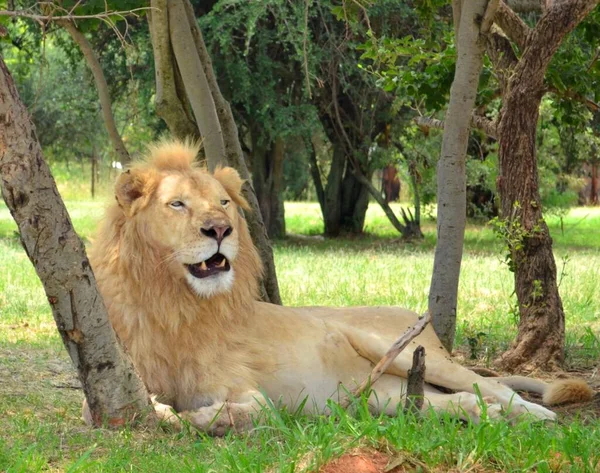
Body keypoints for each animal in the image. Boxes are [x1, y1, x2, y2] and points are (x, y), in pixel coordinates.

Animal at [86, 141, 592, 436]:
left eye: (224, 202)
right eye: (177, 204)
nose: (220, 230)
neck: (176, 301)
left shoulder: (247, 387)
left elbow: (253, 409)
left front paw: (202, 417)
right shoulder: (128, 376)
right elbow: (143, 408)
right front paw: (173, 414)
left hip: (401, 350)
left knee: (490, 387)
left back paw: (536, 415)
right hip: (381, 395)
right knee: (456, 401)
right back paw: (484, 415)